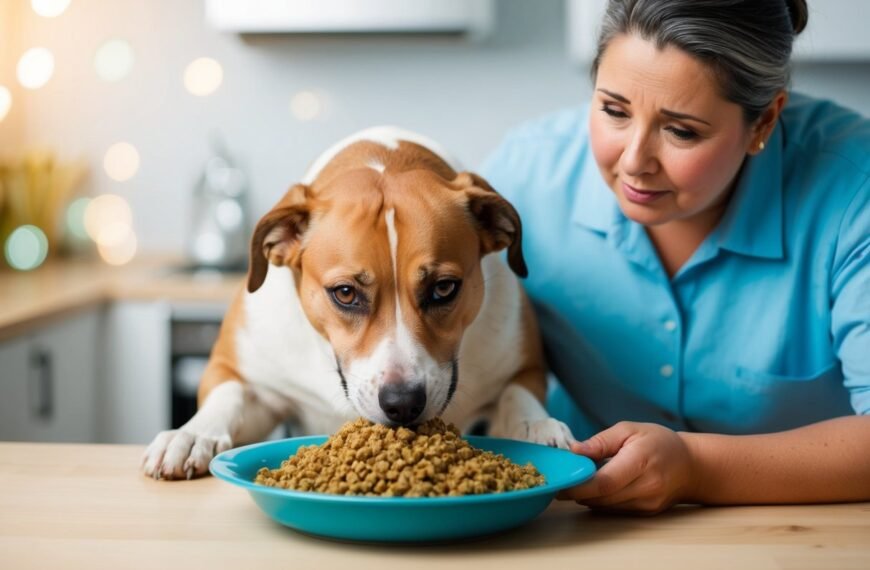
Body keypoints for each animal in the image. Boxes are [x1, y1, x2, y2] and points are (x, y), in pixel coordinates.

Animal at [141, 126, 580, 478]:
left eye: (444, 288)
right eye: (346, 293)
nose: (403, 404)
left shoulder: (526, 367)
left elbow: (516, 395)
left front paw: (536, 427)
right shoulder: (241, 374)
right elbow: (227, 395)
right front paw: (190, 435)